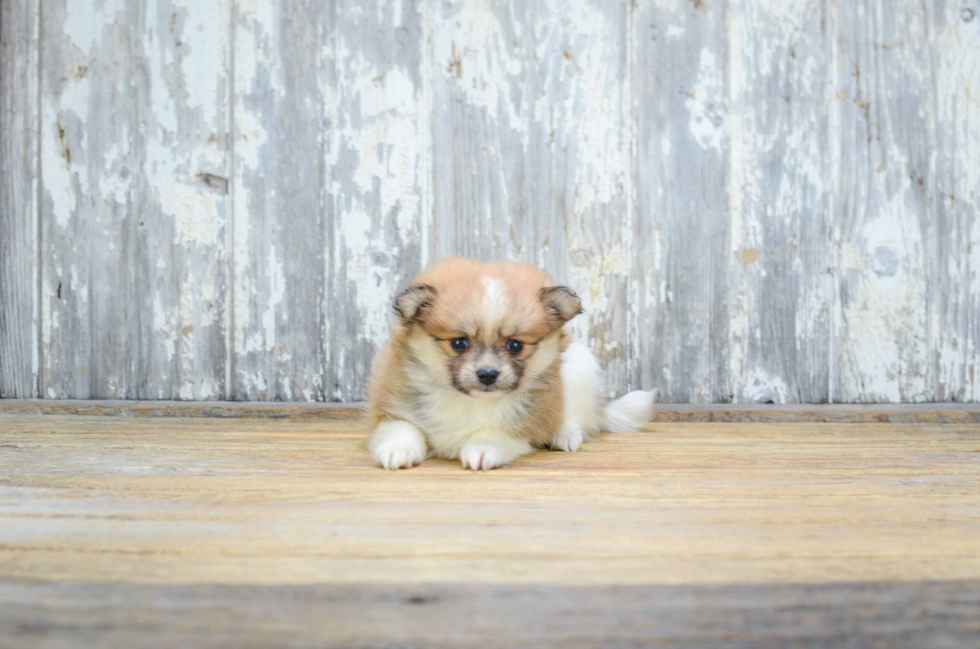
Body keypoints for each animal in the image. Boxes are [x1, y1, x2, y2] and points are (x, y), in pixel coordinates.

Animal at [364, 258, 656, 470]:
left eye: (515, 345)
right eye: (459, 343)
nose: (487, 374)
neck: (471, 402)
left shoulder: (528, 423)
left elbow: (499, 432)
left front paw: (482, 448)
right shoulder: (390, 404)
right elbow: (401, 427)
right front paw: (398, 449)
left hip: (580, 367)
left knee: (579, 416)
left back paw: (565, 435)